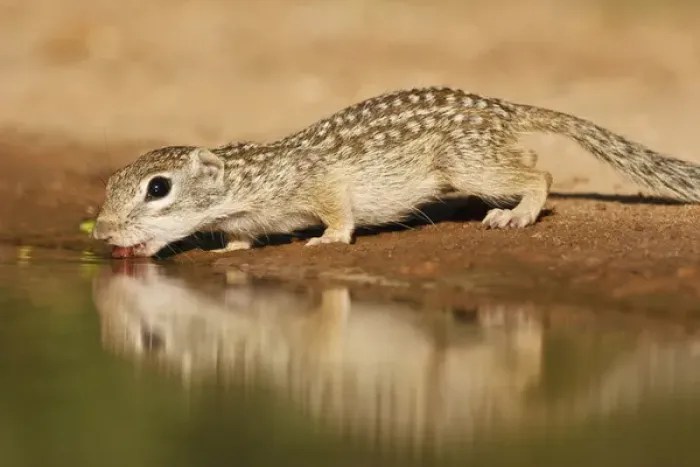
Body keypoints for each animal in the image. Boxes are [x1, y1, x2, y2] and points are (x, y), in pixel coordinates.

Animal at [92, 86, 700, 258]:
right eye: (111, 182)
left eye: (158, 188)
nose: (99, 232)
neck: (245, 183)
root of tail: (501, 106)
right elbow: (241, 239)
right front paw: (228, 252)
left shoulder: (317, 182)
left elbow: (336, 210)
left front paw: (329, 239)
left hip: (470, 164)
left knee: (539, 174)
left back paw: (516, 216)